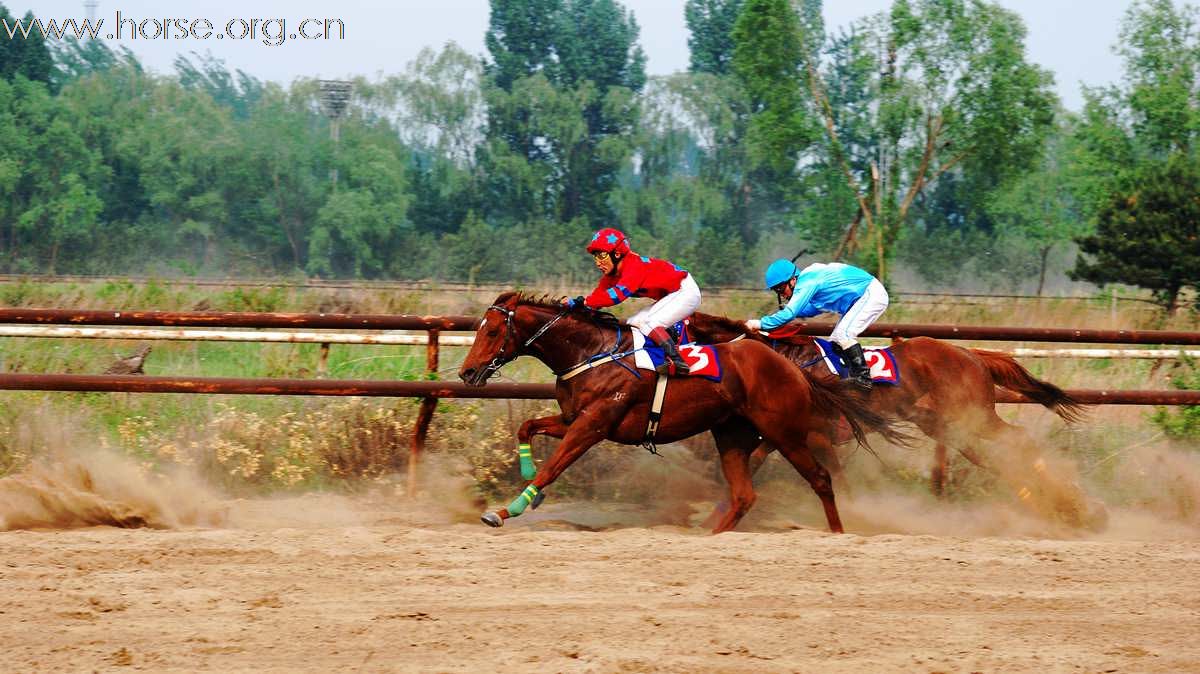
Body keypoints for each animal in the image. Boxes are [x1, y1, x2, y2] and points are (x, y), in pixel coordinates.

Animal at [458, 291, 907, 532]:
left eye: (493, 330)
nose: (466, 372)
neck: (591, 353)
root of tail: (791, 365)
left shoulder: (593, 425)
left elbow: (555, 466)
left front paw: (506, 510)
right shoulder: (572, 418)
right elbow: (527, 427)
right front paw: (528, 480)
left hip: (785, 432)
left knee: (821, 478)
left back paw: (839, 532)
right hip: (731, 435)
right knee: (744, 495)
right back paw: (712, 536)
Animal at [691, 311, 1099, 527]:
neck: (786, 361)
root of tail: (971, 354)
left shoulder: (812, 432)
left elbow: (825, 473)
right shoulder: (791, 433)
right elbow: (764, 462)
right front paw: (714, 518)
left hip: (976, 416)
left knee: (1018, 440)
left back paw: (1067, 503)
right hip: (944, 425)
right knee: (991, 459)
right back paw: (1054, 504)